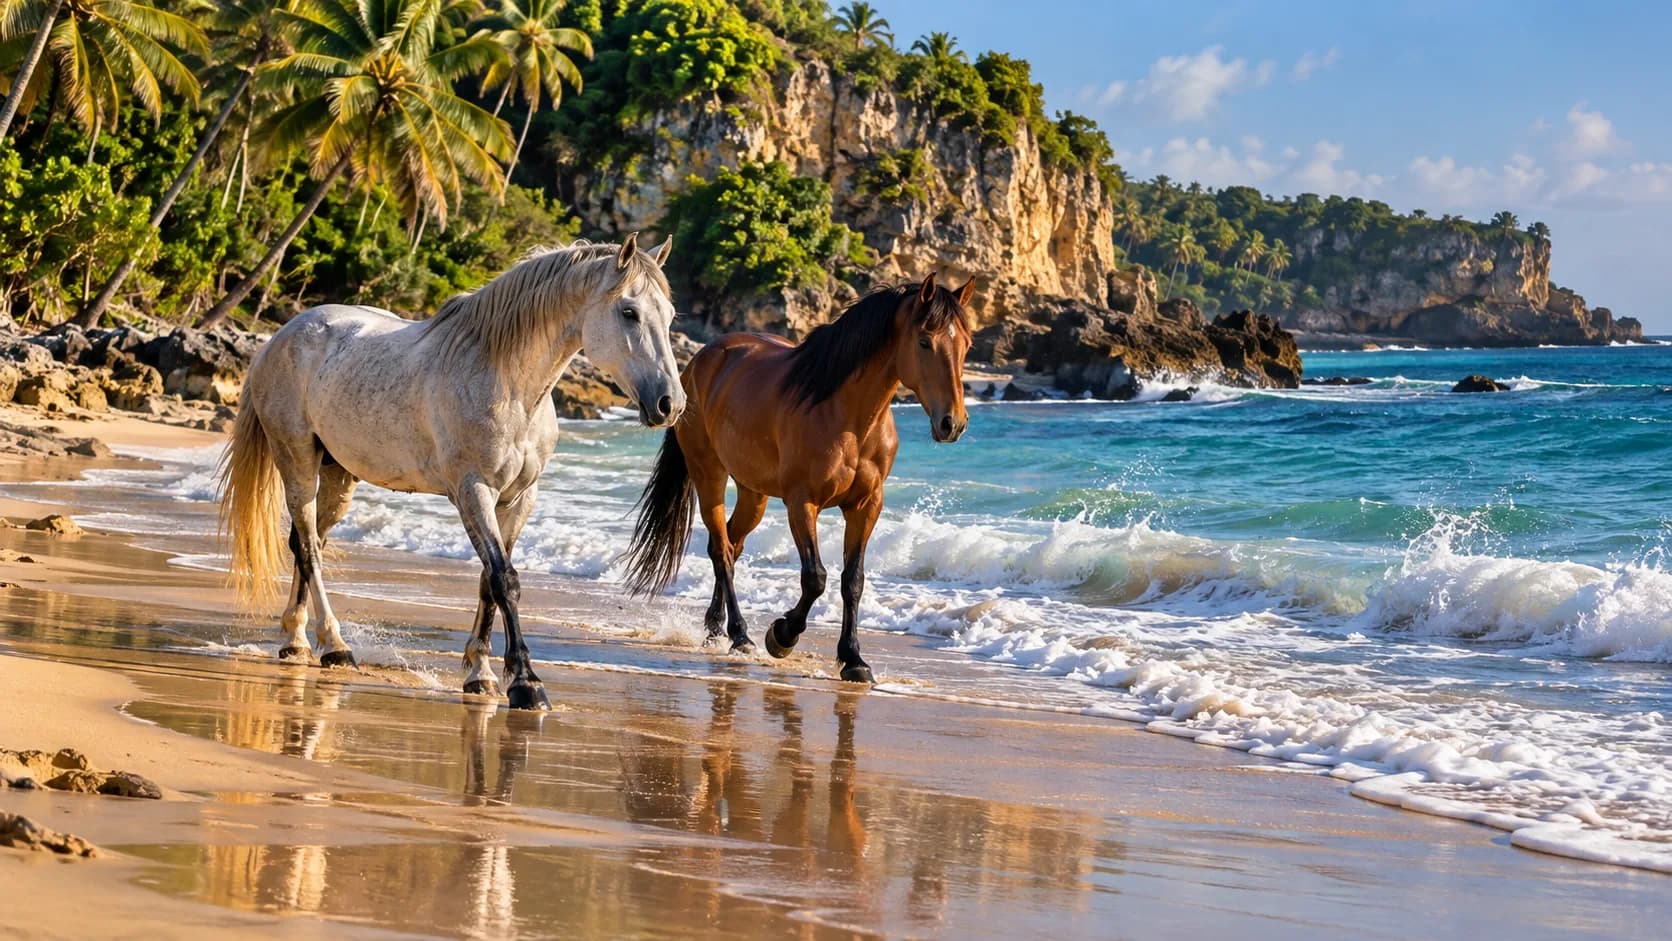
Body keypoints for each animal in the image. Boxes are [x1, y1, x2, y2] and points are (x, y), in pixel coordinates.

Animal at [219, 235, 685, 710]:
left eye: (668, 316)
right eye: (629, 312)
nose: (670, 404)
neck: (505, 382)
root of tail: (283, 334)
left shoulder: (519, 499)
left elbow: (488, 583)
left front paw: (481, 674)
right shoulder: (472, 491)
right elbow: (504, 579)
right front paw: (526, 684)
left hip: (338, 474)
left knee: (305, 541)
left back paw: (296, 640)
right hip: (296, 459)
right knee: (310, 548)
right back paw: (335, 646)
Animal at [622, 274, 974, 684]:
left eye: (965, 344)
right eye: (924, 341)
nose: (952, 423)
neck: (847, 415)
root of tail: (697, 363)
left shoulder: (866, 505)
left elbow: (853, 580)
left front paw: (854, 659)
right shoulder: (801, 502)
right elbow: (815, 577)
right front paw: (782, 635)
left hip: (753, 493)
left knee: (731, 545)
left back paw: (714, 628)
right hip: (708, 474)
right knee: (721, 550)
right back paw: (740, 635)